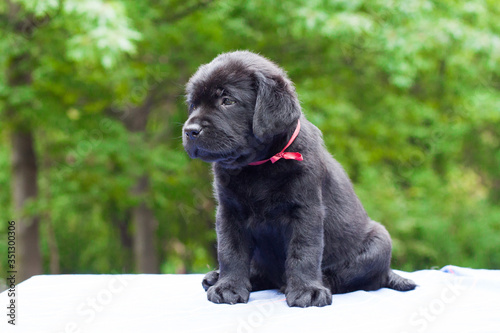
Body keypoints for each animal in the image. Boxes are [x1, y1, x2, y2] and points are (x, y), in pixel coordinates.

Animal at [182, 50, 416, 308]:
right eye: (193, 104)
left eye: (227, 101)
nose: (190, 131)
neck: (258, 167)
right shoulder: (229, 211)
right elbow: (230, 251)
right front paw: (228, 287)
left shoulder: (306, 210)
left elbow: (303, 251)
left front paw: (307, 290)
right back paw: (218, 278)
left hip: (380, 241)